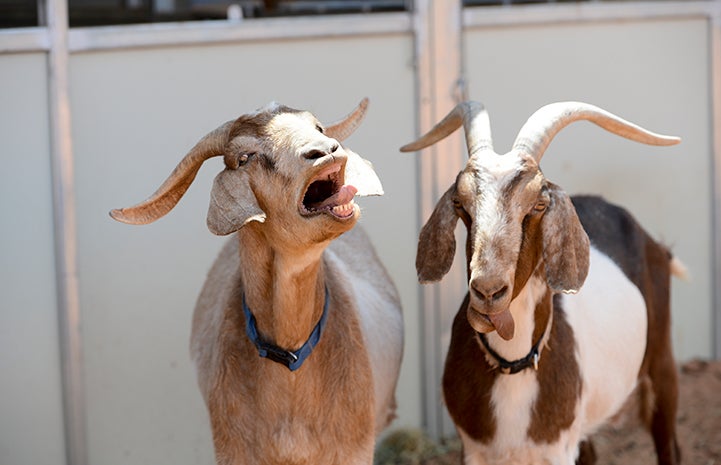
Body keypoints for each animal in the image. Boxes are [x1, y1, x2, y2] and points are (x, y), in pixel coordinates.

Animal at [402, 102, 684, 464]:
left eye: (538, 204)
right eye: (460, 204)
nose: (488, 292)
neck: (513, 364)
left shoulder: (556, 449)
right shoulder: (474, 448)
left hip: (662, 363)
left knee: (668, 441)